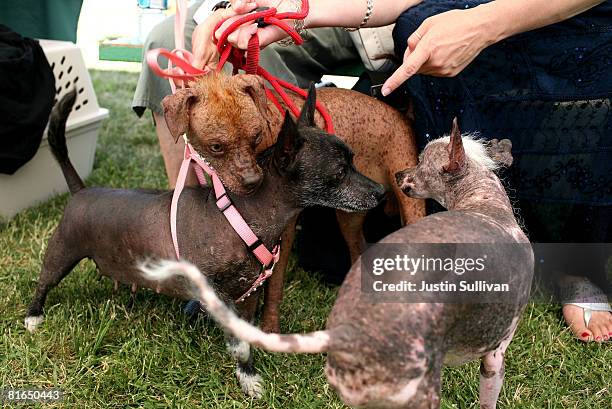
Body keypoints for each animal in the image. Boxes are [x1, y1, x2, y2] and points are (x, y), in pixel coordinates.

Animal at [27, 85, 388, 396]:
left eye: (354, 160)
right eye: (339, 172)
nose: (382, 193)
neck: (245, 213)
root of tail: (81, 190)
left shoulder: (249, 295)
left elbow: (247, 333)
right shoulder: (219, 296)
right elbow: (239, 345)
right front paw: (250, 378)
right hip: (61, 253)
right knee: (43, 282)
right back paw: (33, 315)